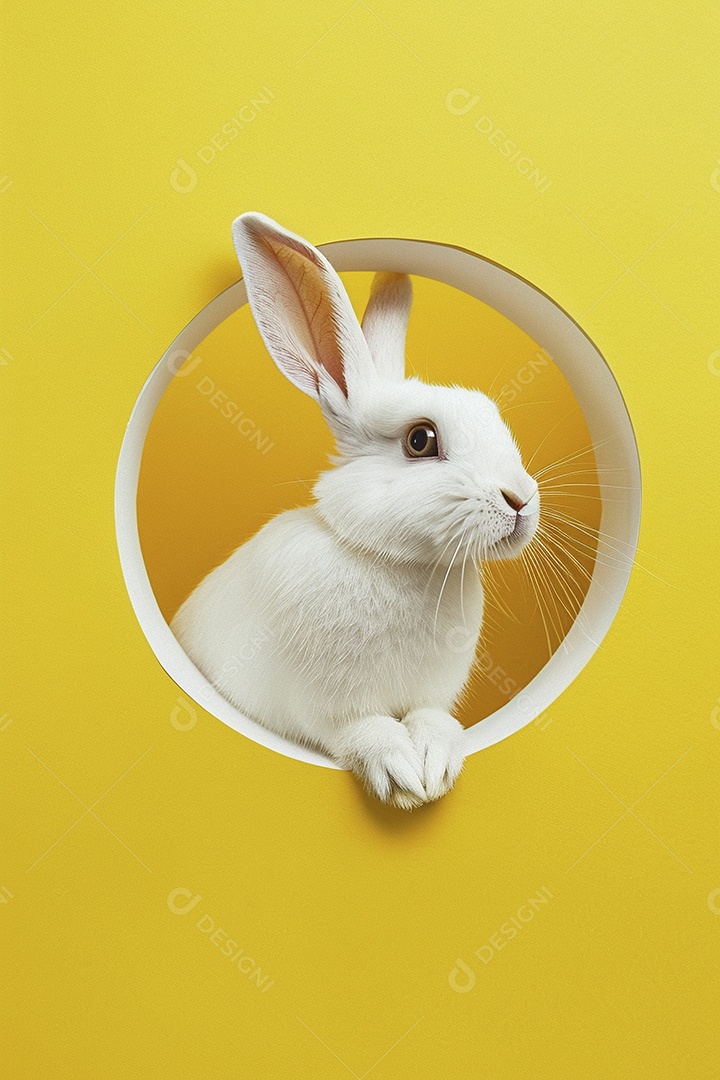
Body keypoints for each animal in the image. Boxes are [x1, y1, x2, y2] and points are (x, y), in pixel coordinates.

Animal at [171, 212, 540, 809]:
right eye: (420, 440)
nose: (521, 500)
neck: (394, 563)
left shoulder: (431, 695)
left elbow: (432, 719)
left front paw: (437, 766)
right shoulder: (322, 707)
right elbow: (361, 729)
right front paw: (403, 778)